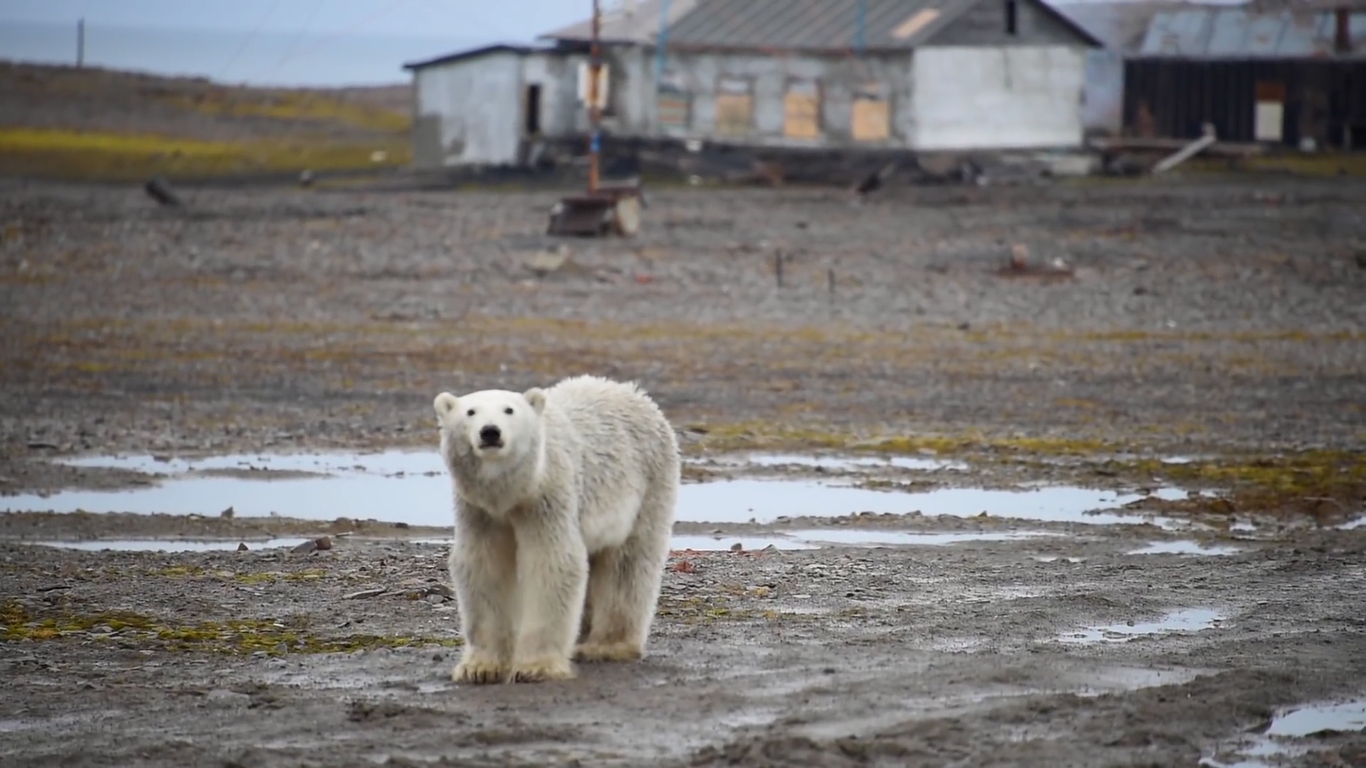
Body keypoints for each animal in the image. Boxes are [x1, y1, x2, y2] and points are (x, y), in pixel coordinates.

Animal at [431, 374, 677, 677]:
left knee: (627, 563)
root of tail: (633, 391)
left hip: (646, 487)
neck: (511, 493)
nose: (490, 432)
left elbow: (551, 562)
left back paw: (607, 646)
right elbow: (484, 567)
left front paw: (536, 667)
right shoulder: (479, 511)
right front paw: (480, 668)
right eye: (470, 412)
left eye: (509, 410)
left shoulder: (548, 497)